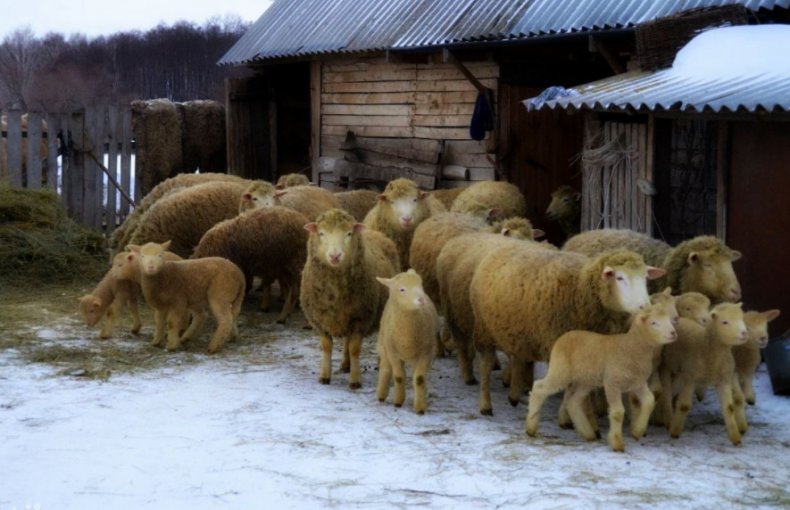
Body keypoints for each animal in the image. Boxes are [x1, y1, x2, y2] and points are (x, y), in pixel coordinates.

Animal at [376, 268, 440, 412]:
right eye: (402, 289)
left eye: (420, 284)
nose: (421, 299)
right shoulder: (393, 353)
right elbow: (399, 377)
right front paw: (398, 402)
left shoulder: (425, 353)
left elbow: (420, 378)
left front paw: (420, 407)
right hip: (384, 346)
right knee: (385, 369)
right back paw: (381, 394)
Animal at [528, 300, 676, 452]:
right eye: (654, 323)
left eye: (669, 319)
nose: (673, 333)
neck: (630, 348)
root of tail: (565, 336)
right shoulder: (612, 383)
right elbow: (617, 413)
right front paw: (617, 443)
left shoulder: (638, 382)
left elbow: (649, 401)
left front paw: (637, 431)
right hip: (560, 371)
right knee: (539, 388)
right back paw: (530, 428)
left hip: (585, 381)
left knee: (573, 401)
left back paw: (588, 433)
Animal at [660, 302, 752, 446]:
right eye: (725, 322)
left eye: (742, 318)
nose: (744, 333)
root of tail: (681, 319)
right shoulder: (691, 379)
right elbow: (684, 406)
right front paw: (675, 432)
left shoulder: (724, 379)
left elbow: (729, 407)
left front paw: (735, 438)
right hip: (667, 365)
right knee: (667, 390)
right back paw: (668, 418)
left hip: (683, 372)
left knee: (674, 388)